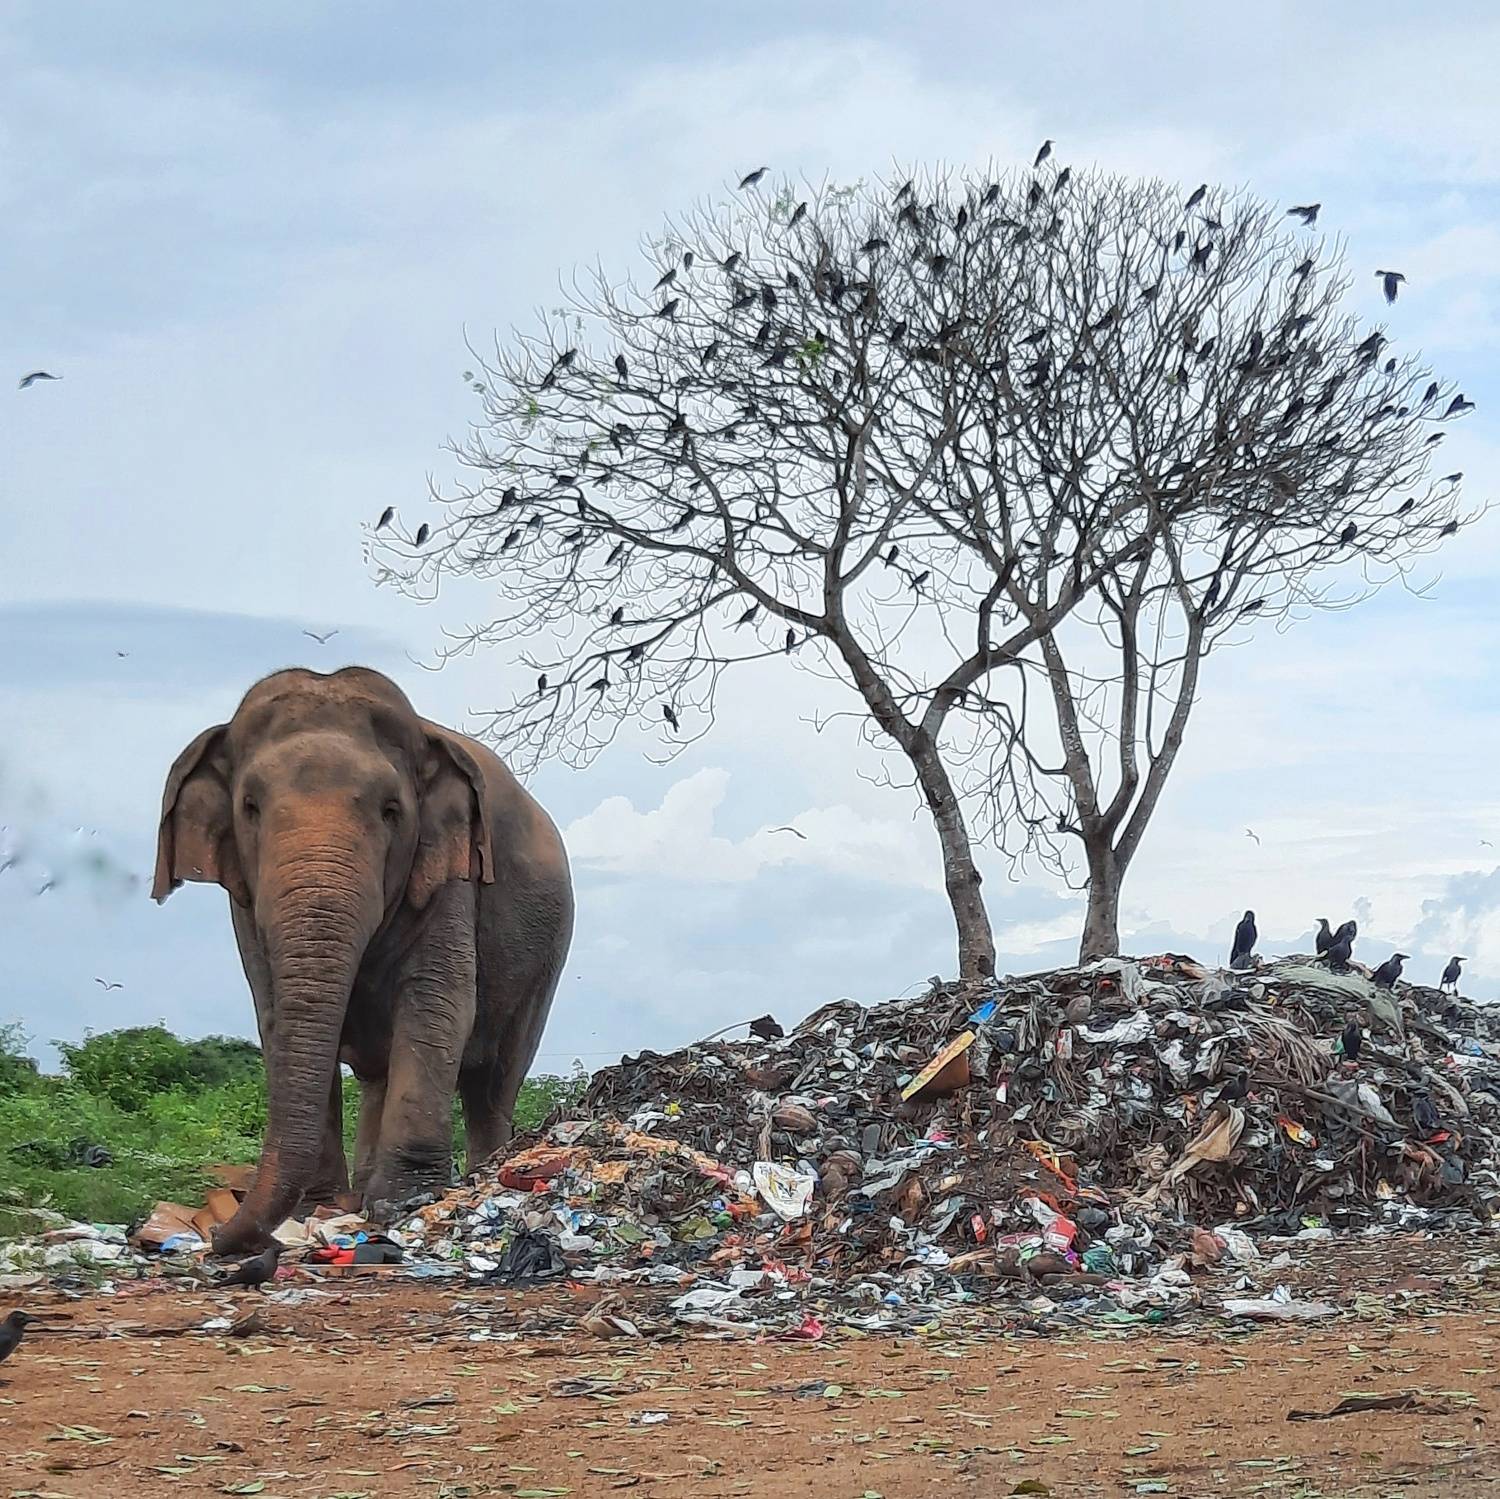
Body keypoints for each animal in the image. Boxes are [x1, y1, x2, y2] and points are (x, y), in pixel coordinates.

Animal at [152, 666, 573, 1253]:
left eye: (391, 811)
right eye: (250, 807)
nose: (216, 1232)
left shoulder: (450, 874)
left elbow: (437, 1007)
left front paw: (401, 1204)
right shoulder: (245, 901)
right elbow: (274, 1014)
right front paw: (322, 1207)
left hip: (546, 959)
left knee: (493, 1081)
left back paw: (480, 1174)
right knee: (380, 1076)